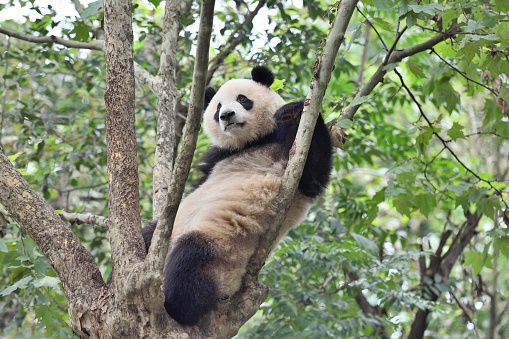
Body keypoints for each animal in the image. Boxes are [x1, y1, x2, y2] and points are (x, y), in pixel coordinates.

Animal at [144, 65, 334, 326]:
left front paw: (293, 111)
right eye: (217, 108)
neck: (254, 141)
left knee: (192, 259)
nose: (227, 115)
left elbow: (313, 176)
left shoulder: (290, 155)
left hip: (224, 246)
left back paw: (177, 306)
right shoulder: (220, 155)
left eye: (243, 99)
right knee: (149, 236)